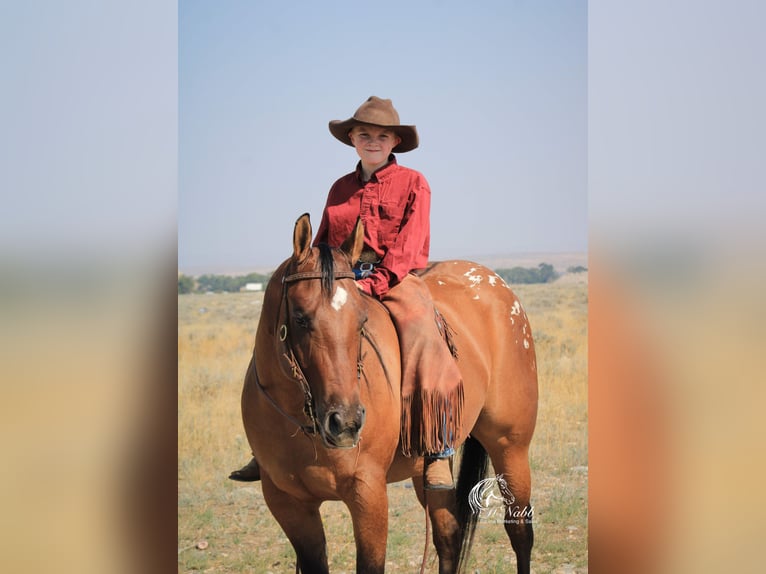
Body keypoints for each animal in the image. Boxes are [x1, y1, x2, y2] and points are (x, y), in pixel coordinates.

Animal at [242, 215, 540, 574]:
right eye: (300, 318)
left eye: (361, 320)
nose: (345, 423)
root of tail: (495, 283)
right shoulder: (288, 504)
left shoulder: (368, 494)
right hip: (430, 470)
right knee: (449, 537)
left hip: (510, 446)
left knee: (520, 532)